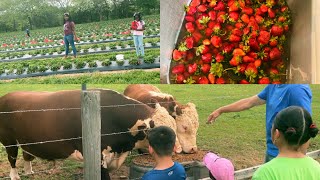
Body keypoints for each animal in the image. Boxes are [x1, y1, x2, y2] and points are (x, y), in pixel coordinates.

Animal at [0, 89, 175, 179]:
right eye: (159, 131)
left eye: (174, 125)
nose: (176, 148)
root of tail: (8, 95)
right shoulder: (97, 155)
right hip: (9, 141)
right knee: (12, 159)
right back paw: (15, 176)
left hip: (26, 141)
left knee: (26, 155)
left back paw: (29, 171)